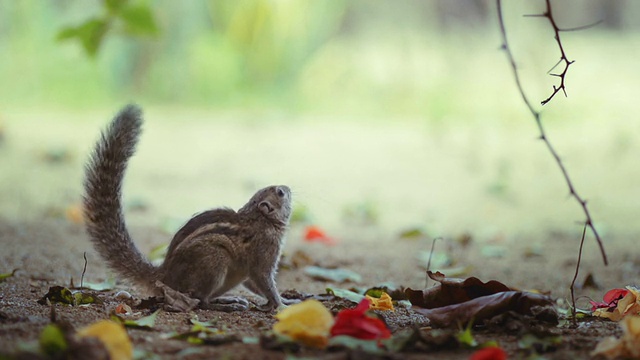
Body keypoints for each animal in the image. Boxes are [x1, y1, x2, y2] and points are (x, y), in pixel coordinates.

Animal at [82, 105, 292, 312]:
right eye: (280, 192)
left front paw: (285, 300)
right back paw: (227, 305)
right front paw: (281, 304)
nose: (288, 187)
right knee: (201, 301)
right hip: (214, 261)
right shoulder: (264, 251)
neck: (261, 219)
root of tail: (165, 276)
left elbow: (253, 283)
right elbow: (263, 280)